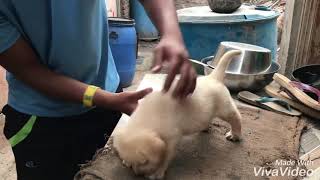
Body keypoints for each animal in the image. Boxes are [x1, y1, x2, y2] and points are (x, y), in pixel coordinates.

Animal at [114, 50, 241, 179]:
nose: (137, 174)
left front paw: (157, 172)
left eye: (144, 162)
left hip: (225, 108)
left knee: (236, 117)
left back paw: (235, 135)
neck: (149, 117)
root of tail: (213, 77)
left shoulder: (171, 139)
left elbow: (165, 157)